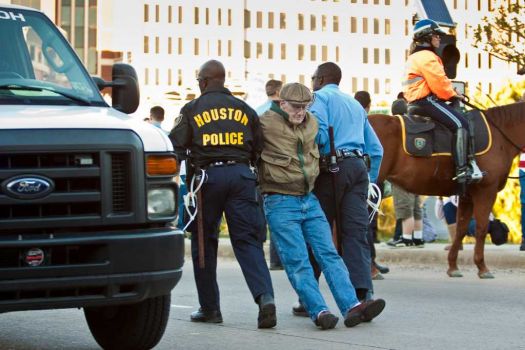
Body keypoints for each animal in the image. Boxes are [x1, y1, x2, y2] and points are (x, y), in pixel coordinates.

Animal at [368, 101, 524, 278]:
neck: (500, 137)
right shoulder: (486, 191)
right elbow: (481, 228)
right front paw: (482, 267)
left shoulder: (467, 195)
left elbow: (461, 229)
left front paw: (453, 266)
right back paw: (372, 270)